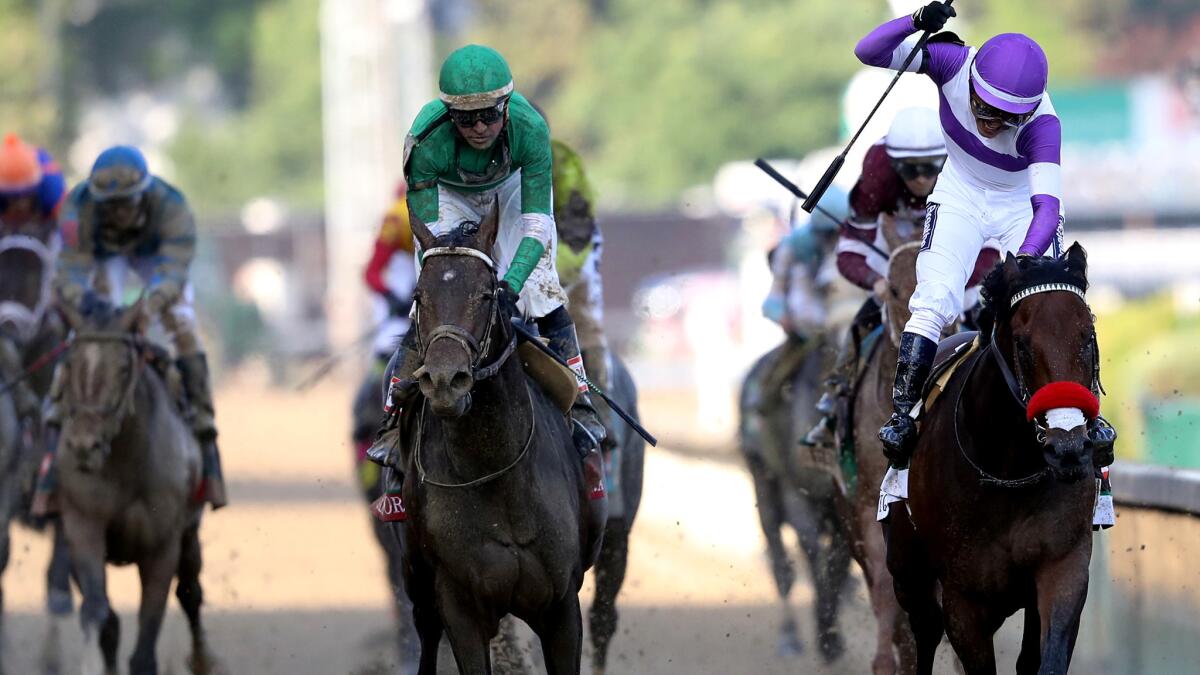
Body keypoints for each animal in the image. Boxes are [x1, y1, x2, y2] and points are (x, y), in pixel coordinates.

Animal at [55, 299, 216, 672]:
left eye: (124, 367)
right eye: (70, 362)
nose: (84, 445)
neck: (126, 463)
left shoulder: (162, 545)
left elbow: (148, 633)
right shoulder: (82, 526)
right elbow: (98, 612)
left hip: (190, 534)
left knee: (190, 592)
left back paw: (202, 659)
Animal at [396, 205, 604, 672]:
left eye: (487, 295)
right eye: (419, 297)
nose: (445, 381)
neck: (495, 471)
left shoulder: (562, 607)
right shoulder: (460, 608)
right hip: (418, 583)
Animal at [888, 246, 1099, 672]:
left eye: (1088, 338)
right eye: (1021, 343)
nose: (1068, 447)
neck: (1008, 472)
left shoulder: (1064, 565)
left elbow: (1046, 657)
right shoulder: (963, 598)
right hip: (906, 571)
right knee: (925, 630)